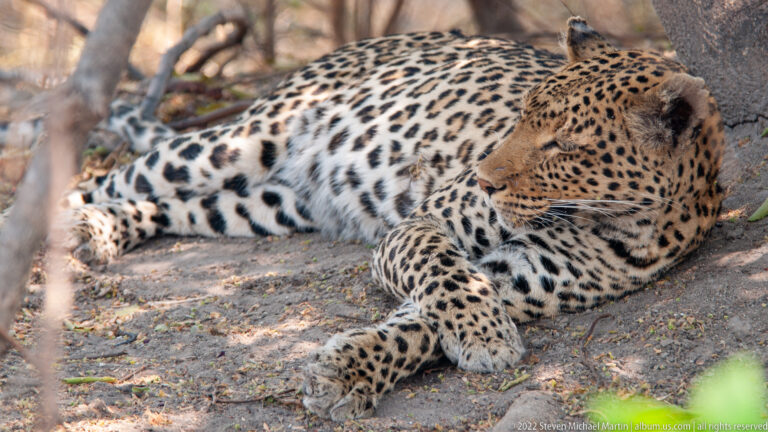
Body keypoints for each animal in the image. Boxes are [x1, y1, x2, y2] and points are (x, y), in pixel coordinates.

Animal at [62, 18, 724, 421]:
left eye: (562, 146)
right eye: (522, 117)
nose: (484, 178)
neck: (610, 220)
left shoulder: (518, 279)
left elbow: (418, 326)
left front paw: (347, 374)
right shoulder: (418, 227)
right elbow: (448, 277)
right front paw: (484, 337)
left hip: (263, 206)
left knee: (173, 205)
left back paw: (101, 232)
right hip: (238, 142)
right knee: (109, 179)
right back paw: (74, 228)